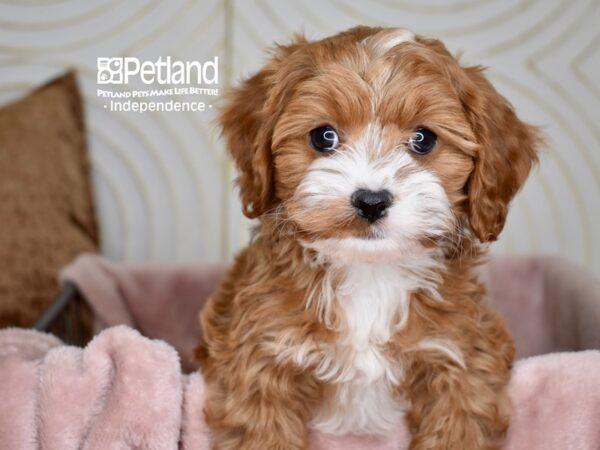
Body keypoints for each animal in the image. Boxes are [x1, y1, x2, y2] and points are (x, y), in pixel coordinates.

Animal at [197, 25, 540, 450]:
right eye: (324, 137)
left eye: (423, 139)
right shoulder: (259, 359)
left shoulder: (463, 361)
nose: (372, 201)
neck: (369, 274)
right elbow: (264, 433)